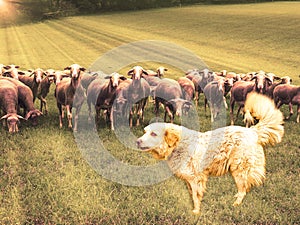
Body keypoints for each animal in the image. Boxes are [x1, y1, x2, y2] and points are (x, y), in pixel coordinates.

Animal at [137, 92, 284, 214]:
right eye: (145, 132)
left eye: (154, 134)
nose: (137, 141)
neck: (178, 144)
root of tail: (252, 131)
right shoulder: (189, 179)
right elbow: (192, 194)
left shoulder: (196, 178)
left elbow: (196, 196)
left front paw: (196, 212)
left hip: (240, 169)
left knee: (243, 190)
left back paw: (235, 204)